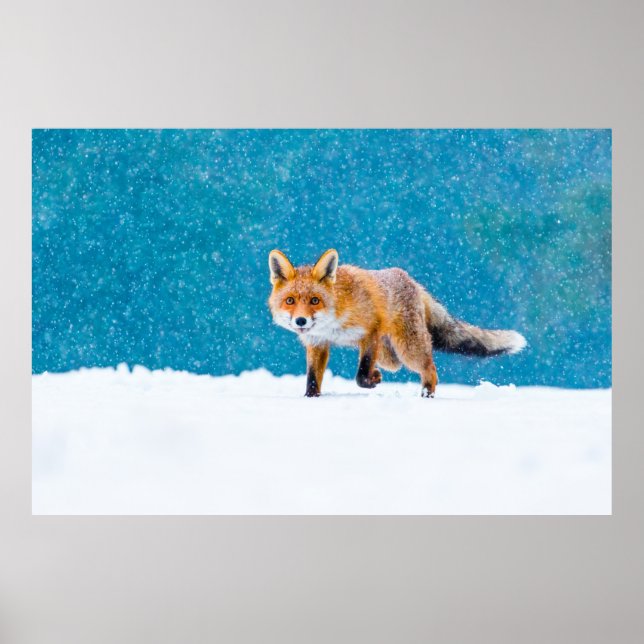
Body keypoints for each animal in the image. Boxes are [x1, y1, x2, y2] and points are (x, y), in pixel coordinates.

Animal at [268, 249, 526, 398]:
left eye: (315, 300)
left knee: (429, 367)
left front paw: (369, 380)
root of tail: (412, 281)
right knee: (396, 365)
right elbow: (313, 378)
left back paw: (427, 393)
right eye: (290, 301)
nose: (301, 320)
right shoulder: (317, 343)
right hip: (388, 353)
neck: (333, 321)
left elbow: (360, 375)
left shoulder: (370, 330)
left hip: (407, 349)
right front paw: (311, 398)